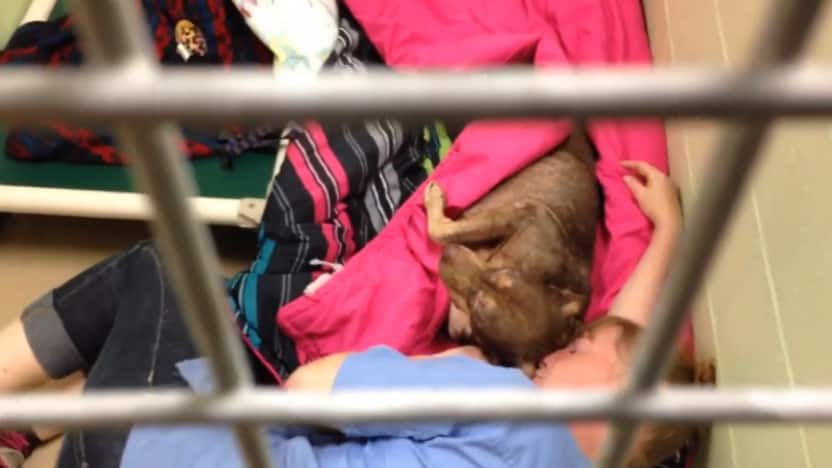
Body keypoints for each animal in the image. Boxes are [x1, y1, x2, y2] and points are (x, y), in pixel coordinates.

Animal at [428, 129, 600, 376]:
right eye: (501, 275)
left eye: (477, 310)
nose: (448, 254)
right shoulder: (532, 216)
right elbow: (447, 229)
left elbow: (439, 232)